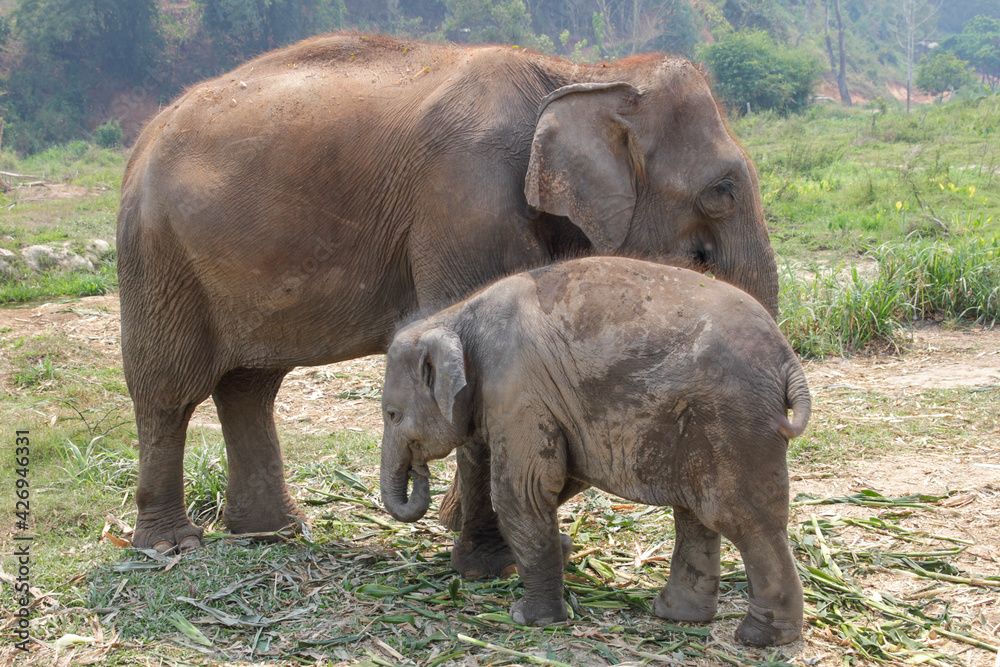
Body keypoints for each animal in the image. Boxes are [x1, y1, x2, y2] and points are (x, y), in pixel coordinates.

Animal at [116, 33, 780, 560]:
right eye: (721, 191)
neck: (581, 71)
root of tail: (143, 137)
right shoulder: (466, 199)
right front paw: (490, 544)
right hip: (158, 255)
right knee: (168, 390)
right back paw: (172, 546)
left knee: (250, 385)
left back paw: (271, 533)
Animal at [379, 257, 810, 647]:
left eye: (392, 414)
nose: (419, 470)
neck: (455, 316)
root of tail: (788, 362)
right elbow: (556, 477)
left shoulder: (517, 391)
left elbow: (526, 490)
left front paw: (530, 620)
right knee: (696, 514)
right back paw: (676, 615)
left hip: (734, 423)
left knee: (742, 519)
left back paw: (761, 638)